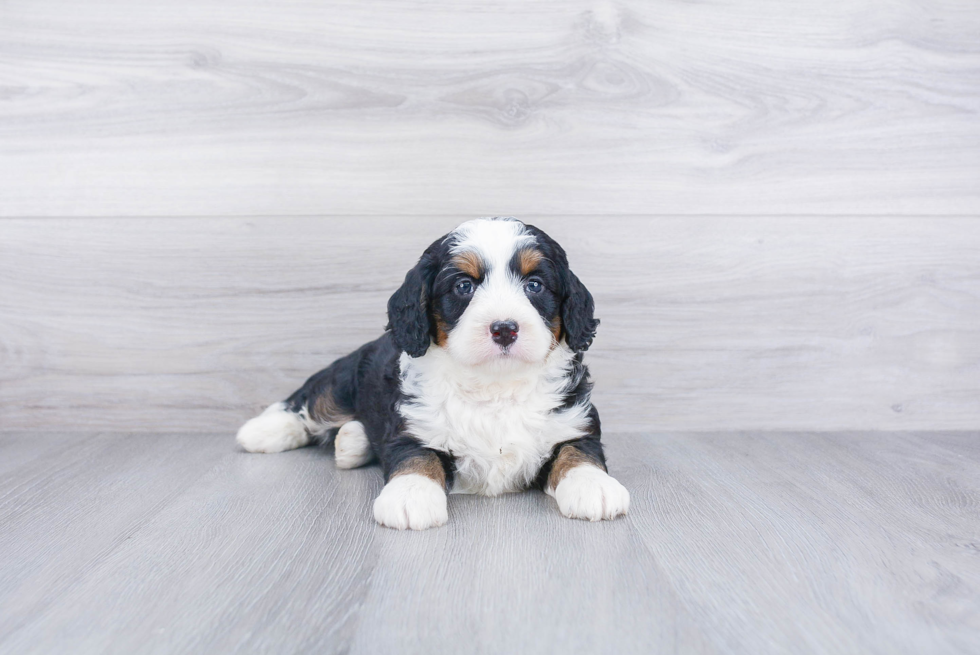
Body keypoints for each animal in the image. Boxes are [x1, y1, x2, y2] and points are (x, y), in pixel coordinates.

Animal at [241, 218, 632, 532]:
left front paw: (594, 486)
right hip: (346, 377)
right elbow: (418, 457)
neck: (495, 387)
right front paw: (410, 495)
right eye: (464, 286)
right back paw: (261, 431)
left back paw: (352, 441)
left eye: (534, 285)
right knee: (310, 403)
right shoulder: (414, 426)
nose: (504, 329)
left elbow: (578, 453)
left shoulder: (574, 422)